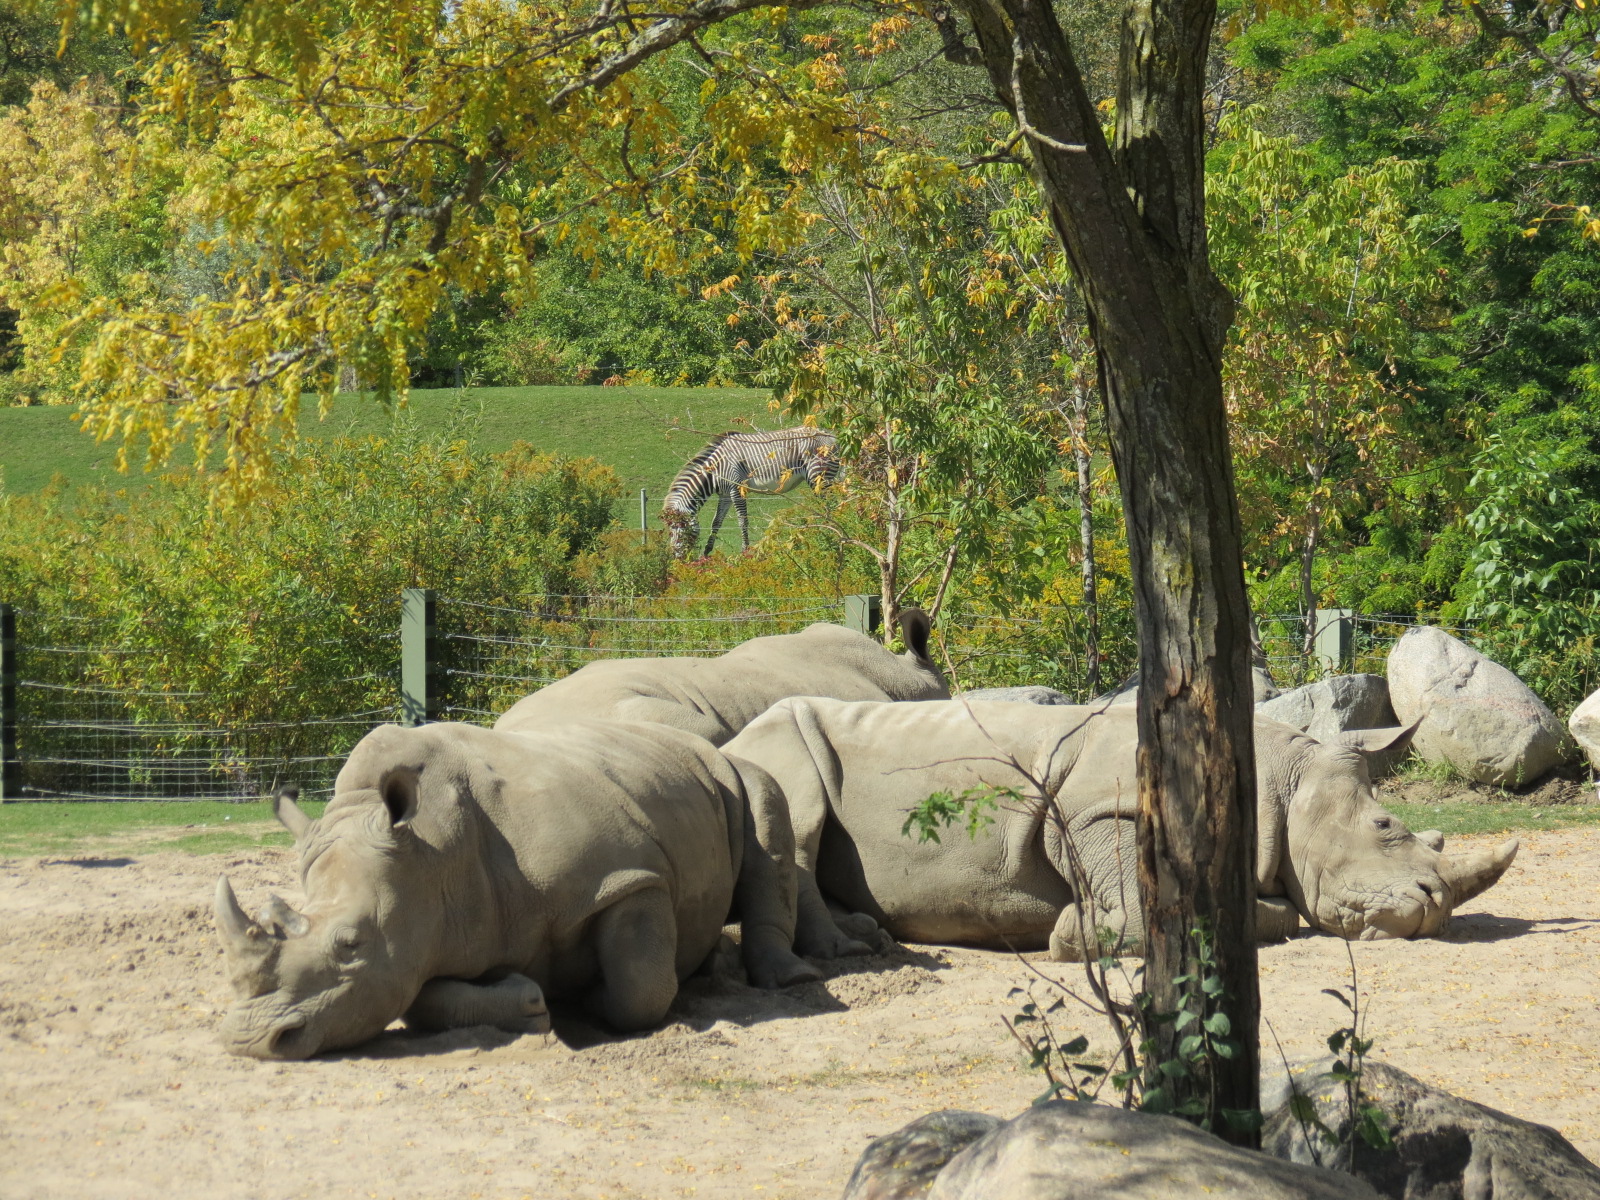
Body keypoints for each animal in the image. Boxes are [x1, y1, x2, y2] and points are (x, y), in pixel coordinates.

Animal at [214, 719, 816, 1059]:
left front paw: (586, 997)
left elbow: (641, 987)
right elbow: (417, 997)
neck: (431, 854)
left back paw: (788, 979)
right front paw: (530, 1002)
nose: (250, 1042)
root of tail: (694, 743)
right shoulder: (432, 934)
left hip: (731, 771)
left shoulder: (627, 878)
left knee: (765, 802)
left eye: (350, 945)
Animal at [721, 698, 1519, 960]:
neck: (1276, 776)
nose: (1434, 910)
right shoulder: (1097, 810)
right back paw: (852, 949)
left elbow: (1273, 913)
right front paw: (1074, 935)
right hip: (775, 742)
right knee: (792, 812)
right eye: (1386, 825)